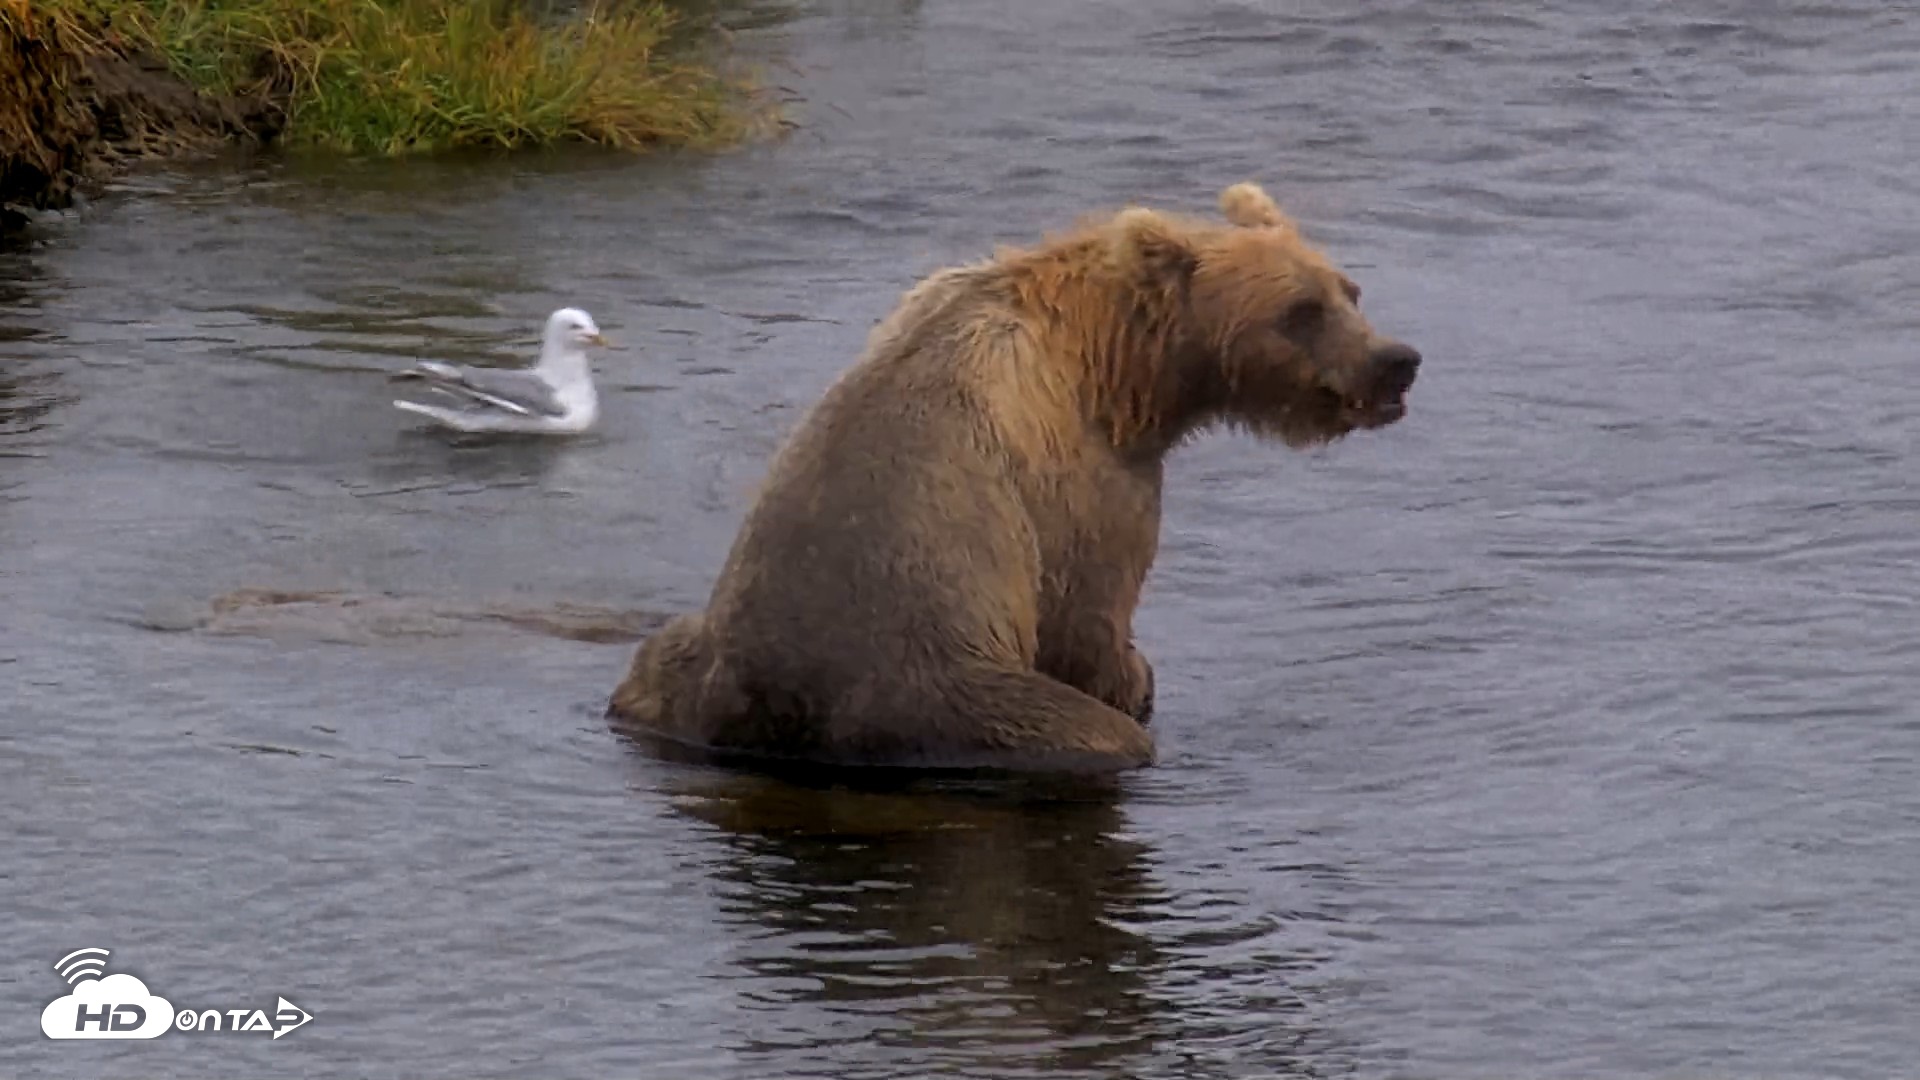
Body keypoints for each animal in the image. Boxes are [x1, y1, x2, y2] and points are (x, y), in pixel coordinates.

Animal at [608, 181, 1421, 775]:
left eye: (1349, 290)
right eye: (1299, 309)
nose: (1396, 360)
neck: (1121, 367)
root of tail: (773, 707)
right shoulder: (1083, 475)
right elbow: (1090, 604)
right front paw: (1133, 675)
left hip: (680, 661)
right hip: (950, 688)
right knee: (1083, 732)